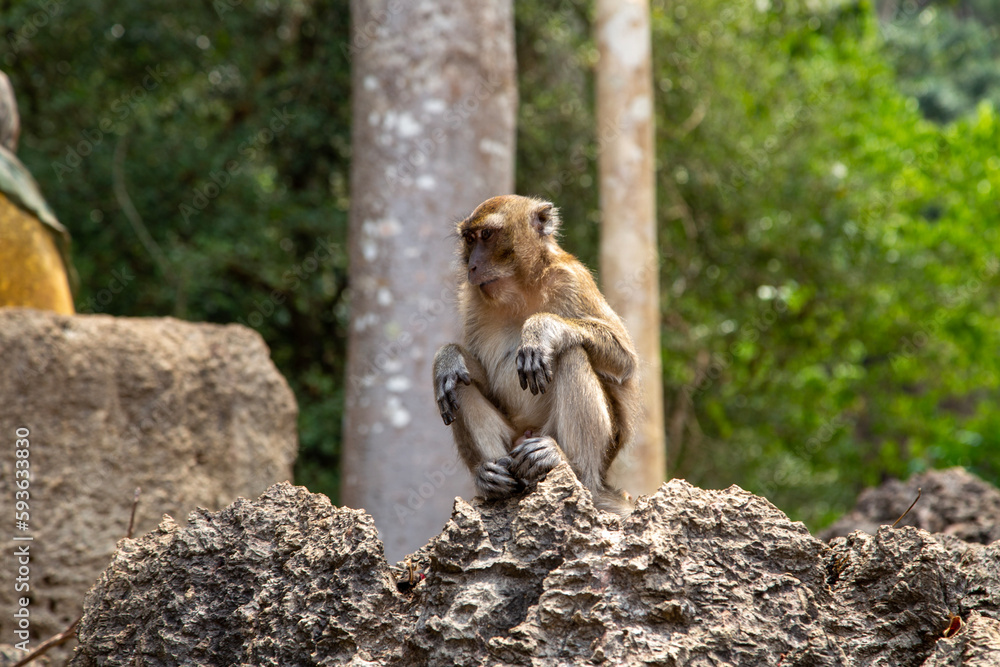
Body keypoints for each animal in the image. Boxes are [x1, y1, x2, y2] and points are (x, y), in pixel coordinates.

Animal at [432, 193, 640, 516]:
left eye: (487, 235)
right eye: (469, 239)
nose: (473, 266)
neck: (521, 288)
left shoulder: (573, 280)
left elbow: (625, 360)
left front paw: (542, 328)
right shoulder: (471, 299)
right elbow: (477, 378)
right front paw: (448, 357)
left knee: (570, 352)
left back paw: (570, 466)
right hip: (514, 439)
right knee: (457, 385)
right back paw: (494, 480)